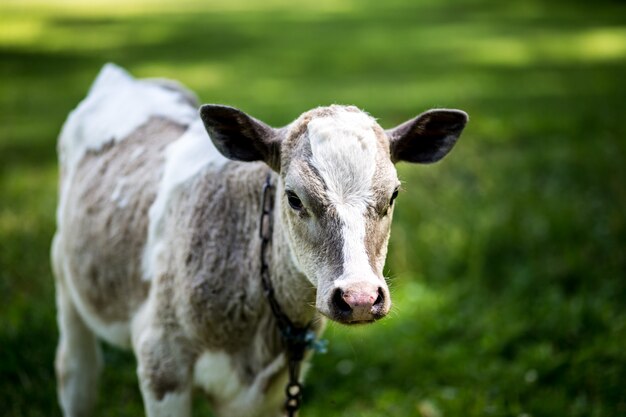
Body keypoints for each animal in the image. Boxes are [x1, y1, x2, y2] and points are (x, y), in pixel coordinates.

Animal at [51, 62, 466, 416]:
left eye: (393, 195)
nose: (359, 297)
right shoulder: (161, 363)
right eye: (294, 198)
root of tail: (123, 78)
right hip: (65, 277)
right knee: (76, 373)